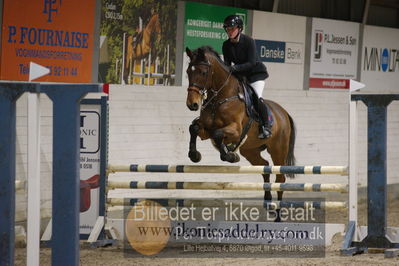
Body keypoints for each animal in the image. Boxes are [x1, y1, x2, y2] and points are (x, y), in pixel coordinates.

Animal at [186, 44, 296, 209]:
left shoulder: (236, 130)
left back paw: (277, 210)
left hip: (278, 150)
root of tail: (284, 113)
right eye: (188, 72)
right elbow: (193, 128)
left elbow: (218, 134)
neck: (220, 98)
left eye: (203, 72)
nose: (192, 104)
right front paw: (194, 155)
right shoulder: (205, 130)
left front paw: (230, 155)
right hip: (250, 150)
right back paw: (267, 201)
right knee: (264, 167)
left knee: (280, 178)